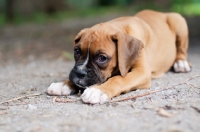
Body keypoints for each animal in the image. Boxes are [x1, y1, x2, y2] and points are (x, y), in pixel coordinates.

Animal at [47, 9, 191, 104]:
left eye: (102, 58)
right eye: (76, 51)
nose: (79, 73)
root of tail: (161, 13)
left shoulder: (141, 72)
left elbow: (118, 79)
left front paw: (98, 91)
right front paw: (63, 84)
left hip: (178, 21)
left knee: (181, 50)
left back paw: (181, 63)